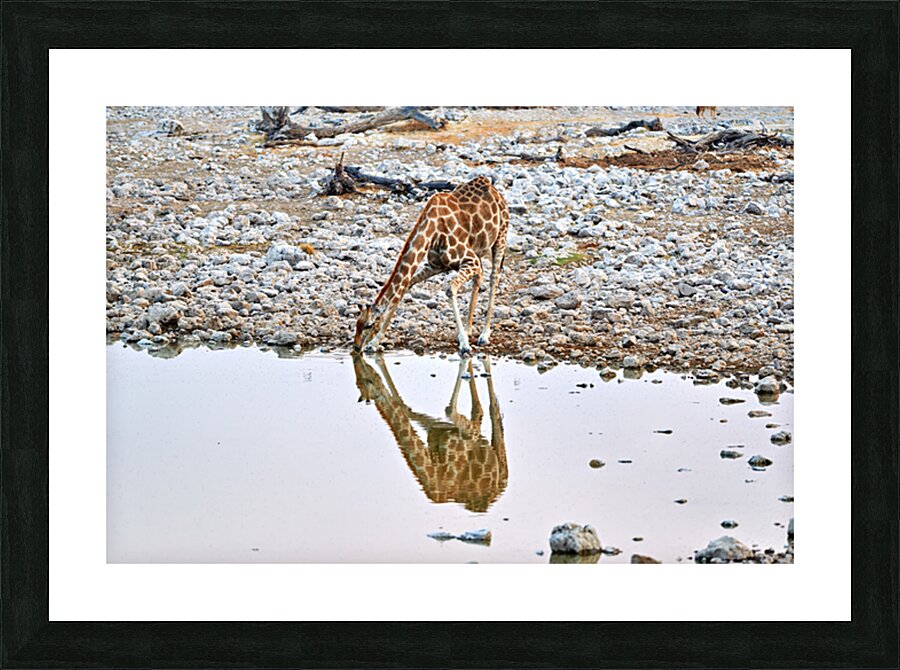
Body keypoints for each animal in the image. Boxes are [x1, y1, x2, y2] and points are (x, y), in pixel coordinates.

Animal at [352, 353, 507, 512]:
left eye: (365, 381)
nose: (357, 353)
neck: (434, 475)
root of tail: (499, 487)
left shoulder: (467, 435)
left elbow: (450, 411)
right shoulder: (435, 431)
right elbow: (408, 409)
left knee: (493, 410)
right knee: (478, 410)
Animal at [353, 175, 509, 357]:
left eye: (369, 325)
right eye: (357, 323)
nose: (356, 347)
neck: (433, 231)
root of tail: (493, 188)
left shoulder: (469, 260)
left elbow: (450, 289)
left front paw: (464, 345)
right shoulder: (437, 265)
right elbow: (406, 286)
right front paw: (375, 343)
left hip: (500, 237)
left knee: (493, 277)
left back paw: (484, 335)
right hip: (477, 249)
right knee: (480, 275)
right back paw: (469, 330)